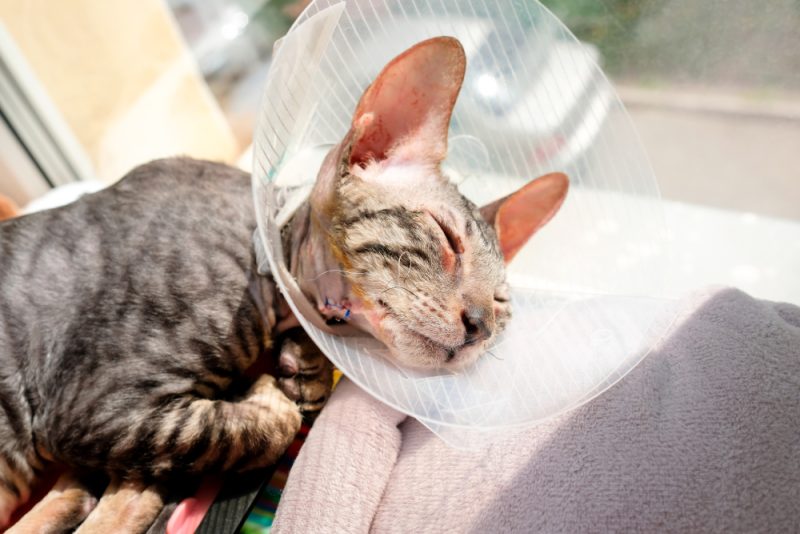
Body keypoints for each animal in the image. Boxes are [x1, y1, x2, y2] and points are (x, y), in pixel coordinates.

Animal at [0, 35, 564, 532]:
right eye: (447, 238)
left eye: (501, 303)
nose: (481, 325)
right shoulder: (97, 406)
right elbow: (268, 426)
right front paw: (272, 394)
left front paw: (302, 368)